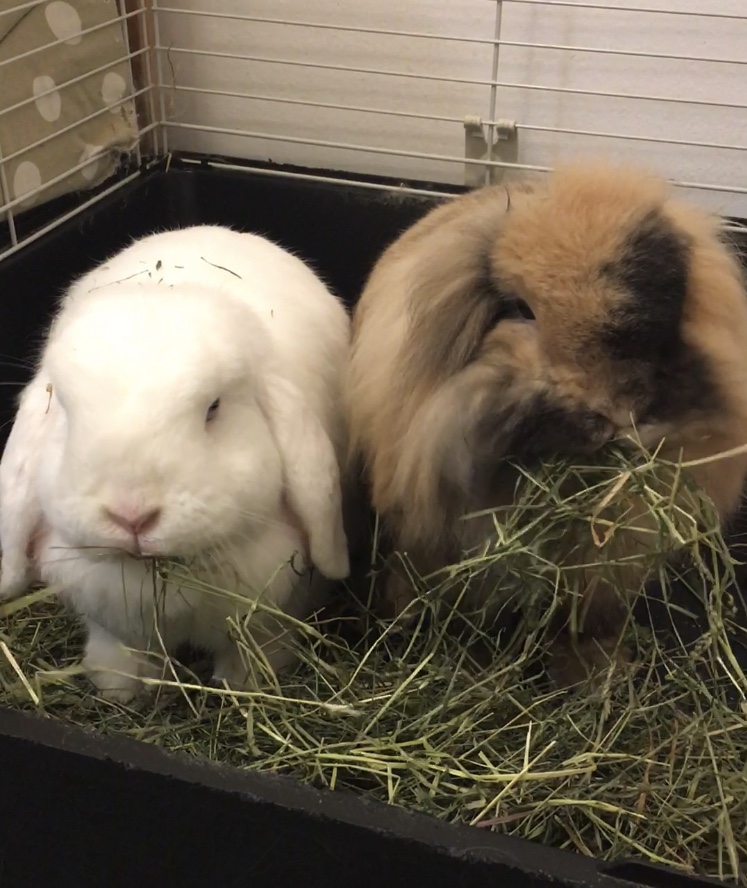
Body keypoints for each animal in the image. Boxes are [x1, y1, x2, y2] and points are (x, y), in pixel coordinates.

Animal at [0, 224, 352, 703]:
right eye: (66, 414)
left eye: (213, 409)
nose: (132, 516)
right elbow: (121, 651)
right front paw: (119, 688)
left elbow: (259, 644)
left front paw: (248, 685)